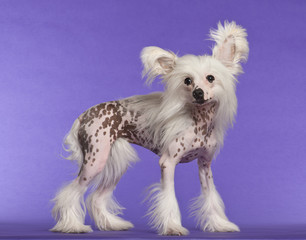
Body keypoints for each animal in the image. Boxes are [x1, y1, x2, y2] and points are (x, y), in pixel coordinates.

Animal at [50, 21, 249, 235]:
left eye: (210, 78)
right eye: (187, 81)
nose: (198, 93)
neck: (198, 122)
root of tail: (83, 116)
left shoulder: (205, 166)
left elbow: (211, 197)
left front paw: (220, 224)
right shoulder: (168, 163)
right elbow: (169, 198)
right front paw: (172, 227)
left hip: (114, 160)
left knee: (97, 197)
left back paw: (112, 224)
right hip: (96, 160)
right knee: (71, 192)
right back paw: (73, 225)